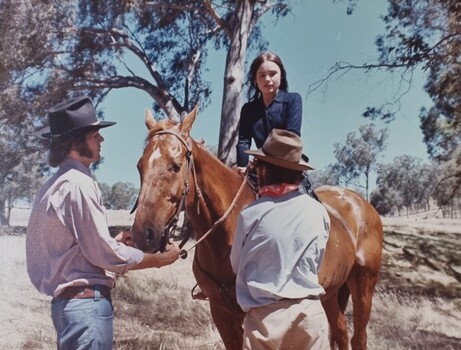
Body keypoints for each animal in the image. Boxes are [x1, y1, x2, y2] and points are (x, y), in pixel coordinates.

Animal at [131, 107, 382, 350]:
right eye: (139, 166)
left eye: (175, 166)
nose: (143, 235)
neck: (226, 235)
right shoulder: (221, 312)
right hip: (331, 294)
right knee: (340, 330)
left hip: (363, 287)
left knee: (358, 338)